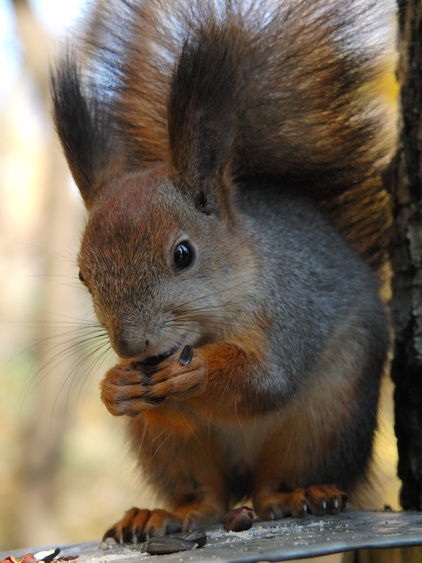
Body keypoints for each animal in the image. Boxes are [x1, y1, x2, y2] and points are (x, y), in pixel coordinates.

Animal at [51, 0, 398, 548]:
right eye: (84, 275)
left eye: (183, 254)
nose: (130, 346)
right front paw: (115, 386)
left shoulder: (291, 311)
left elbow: (265, 381)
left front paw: (196, 372)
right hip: (168, 449)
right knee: (208, 497)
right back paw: (162, 514)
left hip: (328, 417)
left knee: (274, 485)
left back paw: (301, 495)